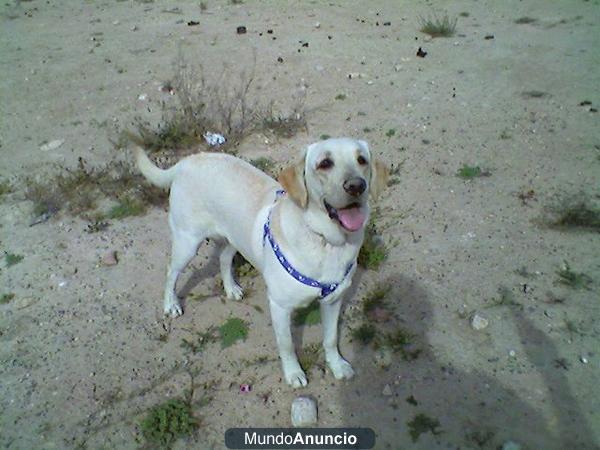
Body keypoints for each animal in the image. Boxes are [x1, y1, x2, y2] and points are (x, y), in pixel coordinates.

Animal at [135, 138, 390, 386]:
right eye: (325, 163)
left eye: (362, 160)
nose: (357, 186)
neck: (325, 241)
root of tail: (187, 161)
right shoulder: (279, 306)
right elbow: (287, 345)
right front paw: (293, 374)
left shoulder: (333, 300)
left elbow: (330, 338)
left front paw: (337, 365)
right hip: (187, 243)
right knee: (171, 271)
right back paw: (171, 304)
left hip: (234, 238)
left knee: (224, 259)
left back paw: (231, 288)